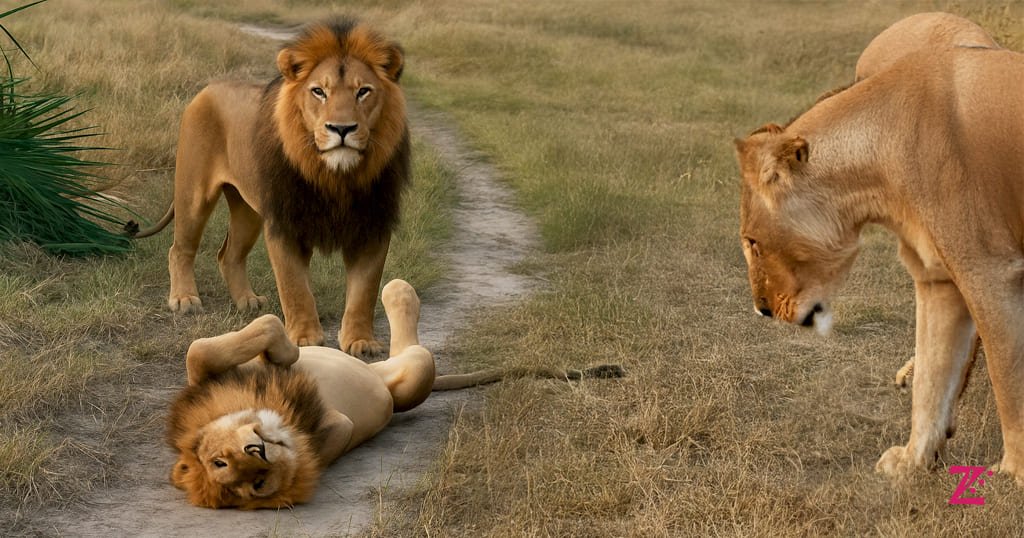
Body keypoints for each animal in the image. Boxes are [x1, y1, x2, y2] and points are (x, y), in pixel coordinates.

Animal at [135, 18, 409, 355]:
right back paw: (184, 299)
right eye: (319, 91)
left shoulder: (373, 226)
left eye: (363, 92)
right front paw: (304, 338)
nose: (341, 129)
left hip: (249, 210)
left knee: (229, 255)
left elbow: (364, 292)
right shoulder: (284, 224)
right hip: (193, 194)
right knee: (180, 249)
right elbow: (294, 287)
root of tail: (208, 88)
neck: (335, 177)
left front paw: (361, 342)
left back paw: (247, 301)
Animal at [168, 279, 624, 509]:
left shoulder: (213, 376)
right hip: (414, 376)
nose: (260, 452)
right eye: (254, 484)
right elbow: (333, 431)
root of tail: (378, 376)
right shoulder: (335, 427)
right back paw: (399, 295)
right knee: (415, 350)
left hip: (389, 368)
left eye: (220, 460)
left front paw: (284, 351)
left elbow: (204, 347)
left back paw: (396, 288)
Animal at [734, 46, 1024, 483]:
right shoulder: (939, 279)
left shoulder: (991, 272)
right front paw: (912, 461)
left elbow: (1009, 377)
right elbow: (931, 378)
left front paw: (1012, 477)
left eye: (752, 242)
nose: (762, 309)